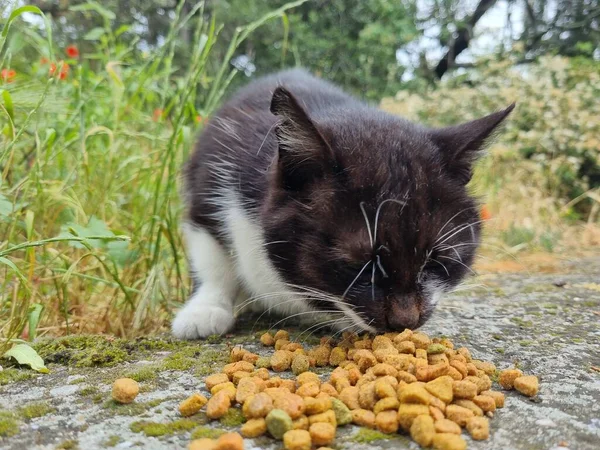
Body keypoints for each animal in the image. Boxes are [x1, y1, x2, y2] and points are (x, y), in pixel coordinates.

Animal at [171, 68, 512, 340]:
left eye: (437, 261)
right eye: (360, 263)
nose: (405, 321)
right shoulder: (211, 177)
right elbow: (213, 258)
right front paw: (204, 310)